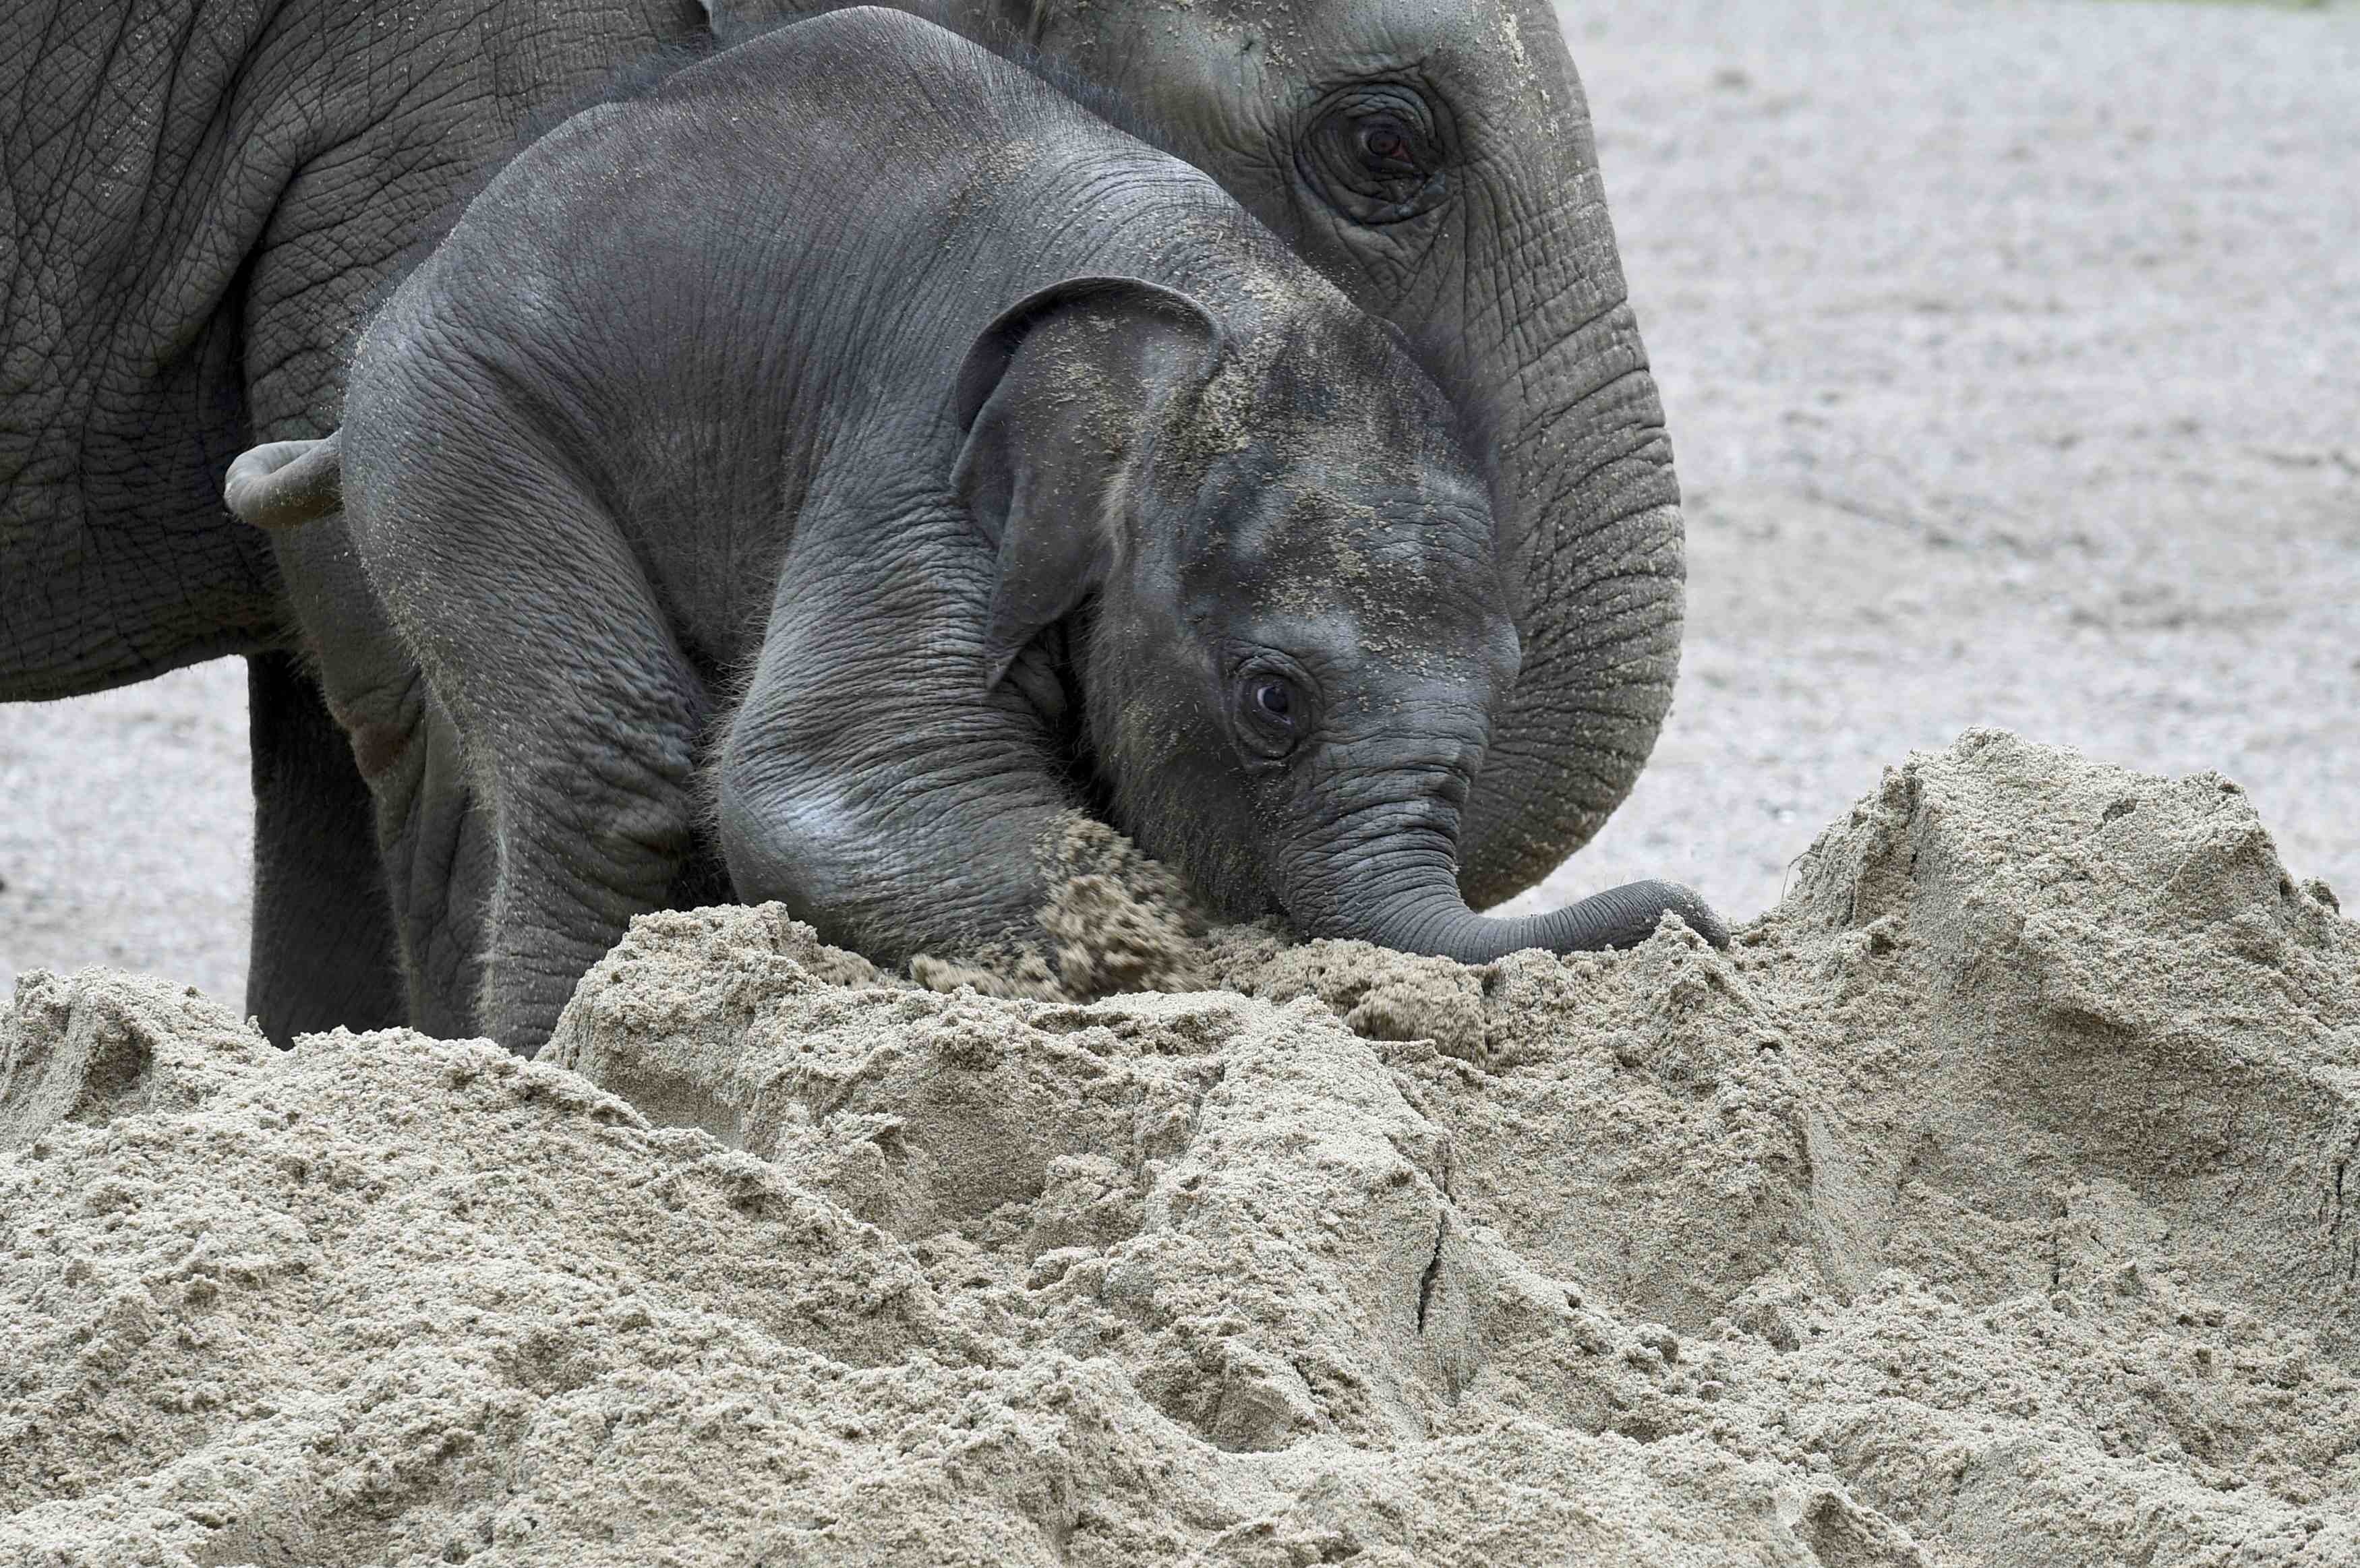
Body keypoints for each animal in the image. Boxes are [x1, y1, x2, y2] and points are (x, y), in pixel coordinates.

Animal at [9, 0, 1690, 1033]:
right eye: (1385, 143)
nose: (1699, 921)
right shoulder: (915, 437)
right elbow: (827, 784)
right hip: (451, 402)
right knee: (611, 759)